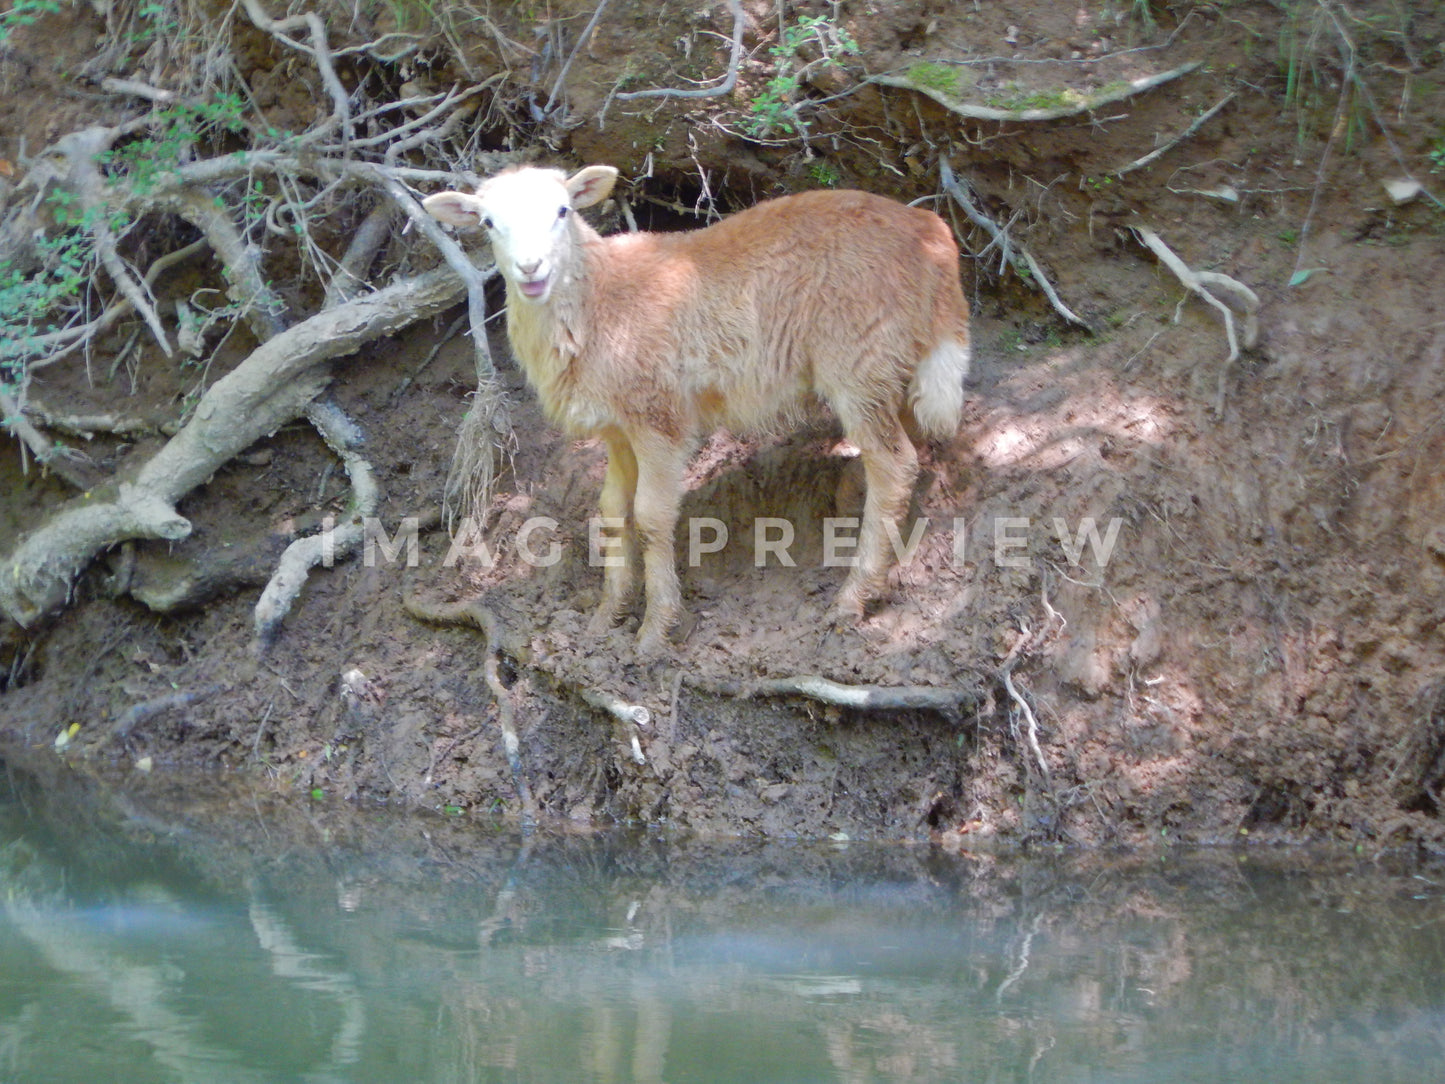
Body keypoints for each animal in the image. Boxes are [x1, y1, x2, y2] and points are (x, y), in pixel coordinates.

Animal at [423, 164, 970, 653]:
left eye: (562, 211)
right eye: (488, 222)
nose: (531, 269)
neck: (600, 298)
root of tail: (933, 235)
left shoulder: (657, 417)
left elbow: (650, 516)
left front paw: (654, 630)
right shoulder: (618, 430)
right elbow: (611, 511)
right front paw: (607, 616)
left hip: (859, 359)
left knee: (894, 465)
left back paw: (853, 597)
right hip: (889, 364)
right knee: (905, 448)